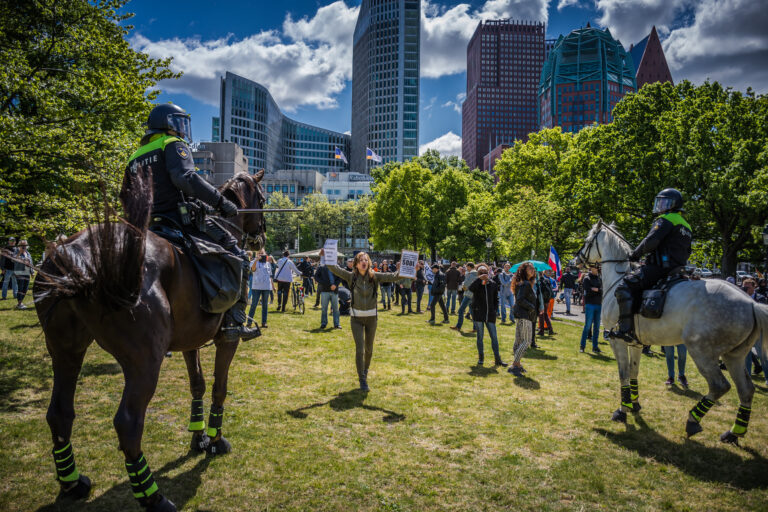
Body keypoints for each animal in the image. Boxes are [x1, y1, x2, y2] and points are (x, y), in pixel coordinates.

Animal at [33, 169, 268, 512]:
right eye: (262, 198)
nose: (261, 236)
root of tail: (76, 256)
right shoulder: (227, 341)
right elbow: (219, 388)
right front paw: (215, 439)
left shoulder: (190, 341)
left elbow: (197, 385)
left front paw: (198, 437)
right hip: (144, 361)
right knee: (128, 423)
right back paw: (152, 496)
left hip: (66, 352)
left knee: (60, 413)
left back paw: (73, 482)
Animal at [572, 220, 764, 444]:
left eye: (587, 241)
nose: (575, 260)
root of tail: (750, 303)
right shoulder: (636, 343)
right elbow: (634, 372)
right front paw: (634, 404)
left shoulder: (617, 341)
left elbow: (623, 374)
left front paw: (622, 410)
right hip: (734, 356)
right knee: (746, 390)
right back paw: (733, 433)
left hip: (702, 352)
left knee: (719, 386)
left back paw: (693, 420)